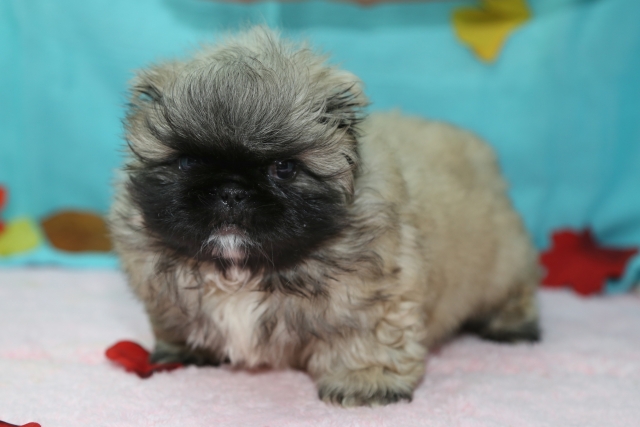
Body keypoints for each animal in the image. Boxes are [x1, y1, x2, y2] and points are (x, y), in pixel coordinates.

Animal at [109, 27, 540, 407]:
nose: (231, 191)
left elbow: (364, 341)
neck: (240, 271)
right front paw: (184, 351)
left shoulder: (368, 301)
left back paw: (513, 325)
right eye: (187, 162)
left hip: (503, 263)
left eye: (283, 168)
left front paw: (365, 384)